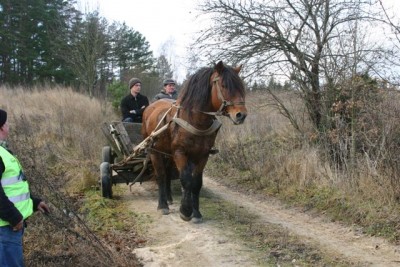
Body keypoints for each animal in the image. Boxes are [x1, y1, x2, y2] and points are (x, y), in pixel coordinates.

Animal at [141, 61, 247, 224]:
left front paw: (196, 213)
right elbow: (186, 180)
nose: (241, 115)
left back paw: (169, 198)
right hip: (154, 151)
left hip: (167, 153)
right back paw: (163, 205)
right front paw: (185, 211)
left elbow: (196, 183)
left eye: (241, 86)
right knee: (161, 175)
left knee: (167, 173)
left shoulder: (203, 155)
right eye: (224, 85)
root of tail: (150, 108)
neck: (196, 120)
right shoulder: (180, 152)